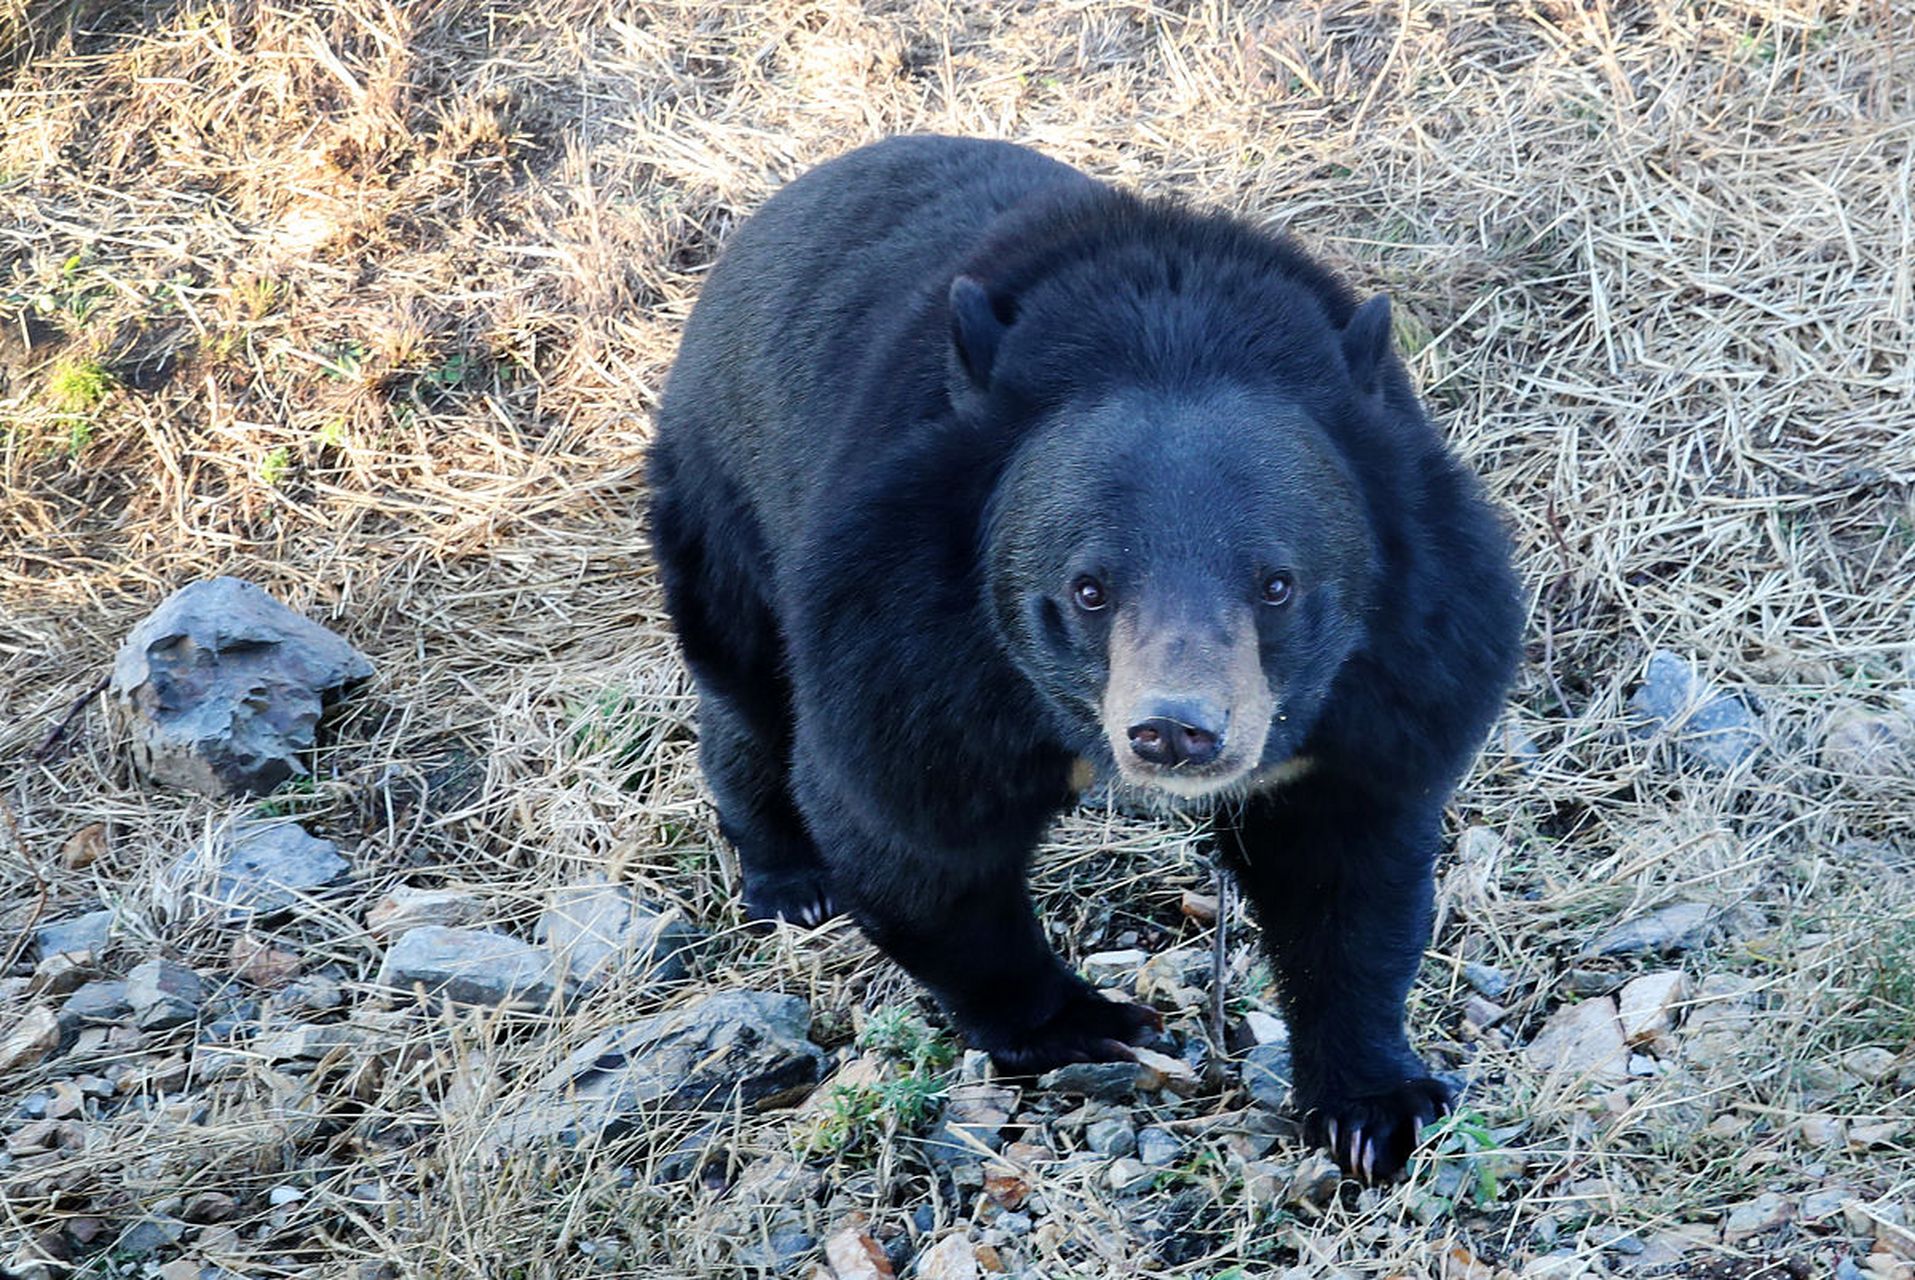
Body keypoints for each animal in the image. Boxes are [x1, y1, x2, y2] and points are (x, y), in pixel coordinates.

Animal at [651, 137, 1516, 1180]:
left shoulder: (1399, 658)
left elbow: (1347, 865)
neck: (1167, 328)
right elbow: (907, 832)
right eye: (1088, 590)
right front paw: (1088, 1024)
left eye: (1277, 585)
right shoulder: (903, 631)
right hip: (727, 488)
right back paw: (792, 881)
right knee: (749, 691)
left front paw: (1376, 1108)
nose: (1175, 733)